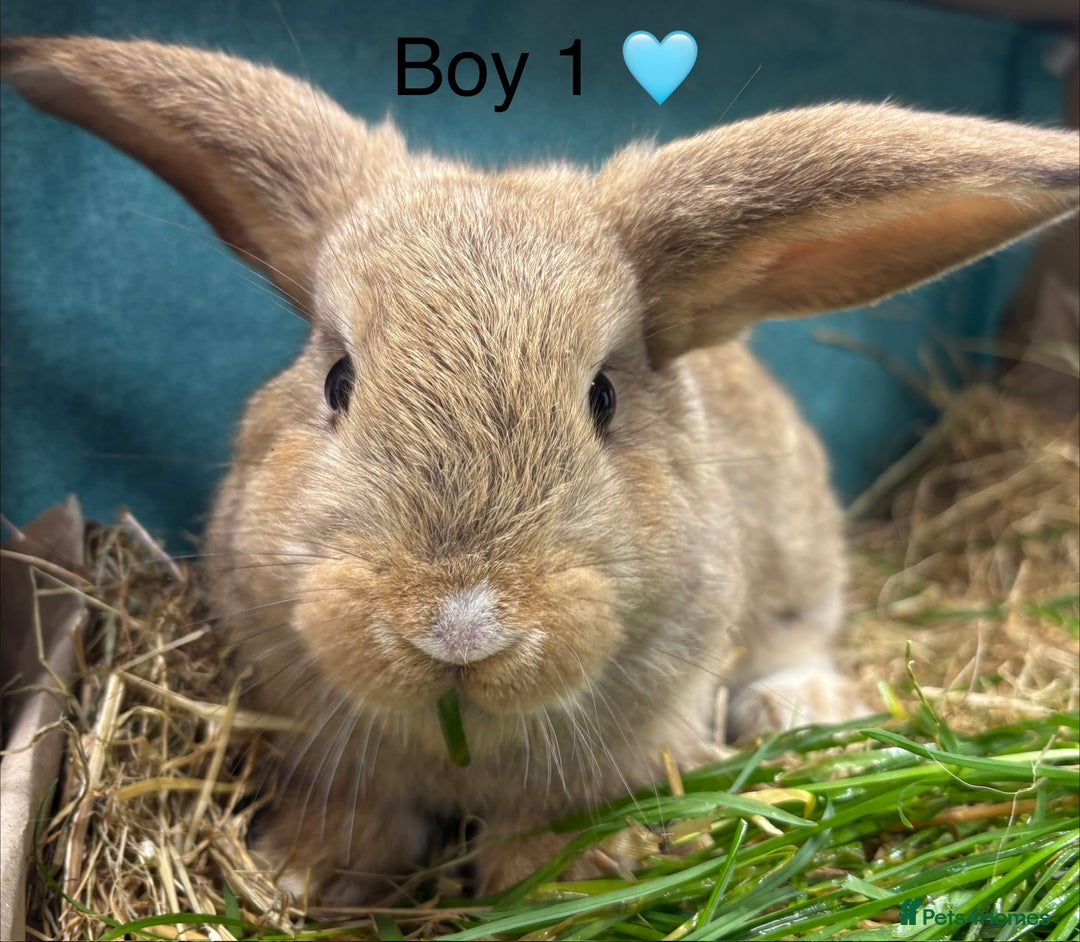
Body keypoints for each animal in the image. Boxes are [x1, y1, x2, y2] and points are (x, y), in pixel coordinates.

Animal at [3, 36, 1077, 902]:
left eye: (602, 397)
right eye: (338, 379)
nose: (459, 626)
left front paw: (555, 889)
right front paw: (299, 872)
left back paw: (792, 708)